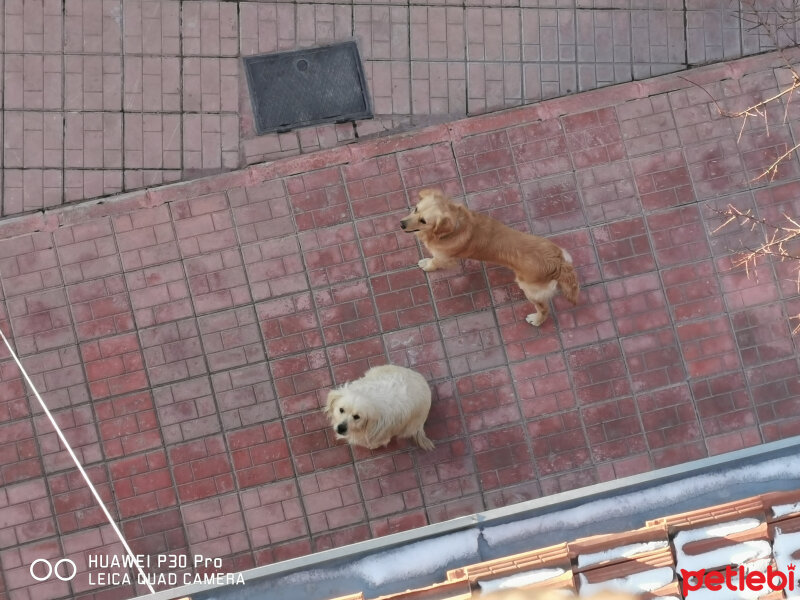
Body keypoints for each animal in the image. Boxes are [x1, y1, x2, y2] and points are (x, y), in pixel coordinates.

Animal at [400, 189, 580, 326]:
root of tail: (558, 263)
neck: (455, 225)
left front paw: (427, 264)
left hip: (529, 289)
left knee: (544, 309)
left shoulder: (444, 258)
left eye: (423, 221)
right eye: (415, 209)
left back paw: (536, 320)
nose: (401, 224)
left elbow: (434, 262)